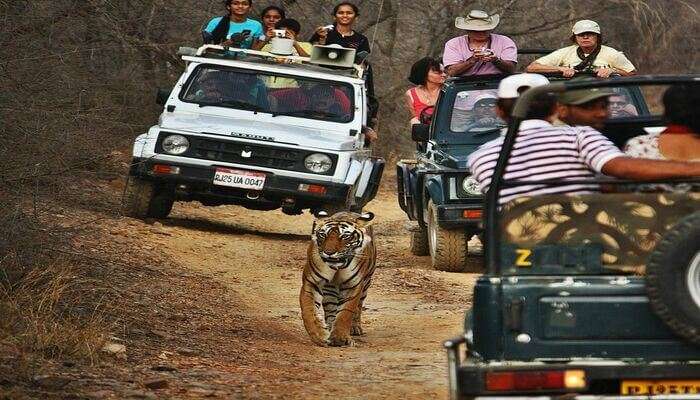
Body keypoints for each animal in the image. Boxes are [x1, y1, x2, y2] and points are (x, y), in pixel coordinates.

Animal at [300, 211, 378, 346]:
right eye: (322, 235)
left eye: (345, 236)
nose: (329, 252)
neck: (338, 267)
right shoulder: (311, 283)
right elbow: (309, 311)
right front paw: (319, 335)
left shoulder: (353, 287)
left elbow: (345, 313)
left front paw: (340, 338)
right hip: (329, 290)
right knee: (331, 309)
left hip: (366, 283)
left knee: (358, 307)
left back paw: (355, 328)